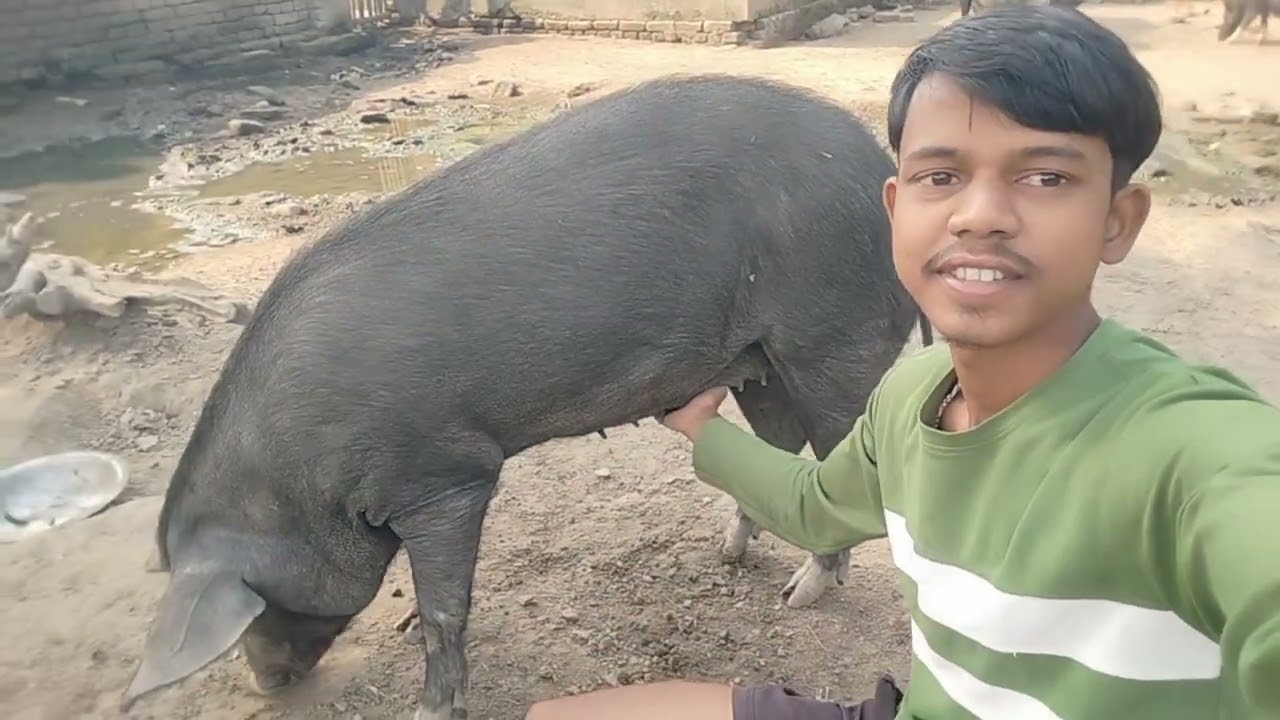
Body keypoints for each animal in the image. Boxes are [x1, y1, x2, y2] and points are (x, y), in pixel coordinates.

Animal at [120, 73, 932, 719]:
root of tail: (878, 165)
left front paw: (432, 708)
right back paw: (728, 556)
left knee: (837, 470)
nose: (265, 685)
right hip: (759, 359)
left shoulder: (444, 473)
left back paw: (800, 593)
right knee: (782, 449)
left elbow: (445, 603)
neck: (296, 478)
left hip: (835, 338)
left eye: (261, 606)